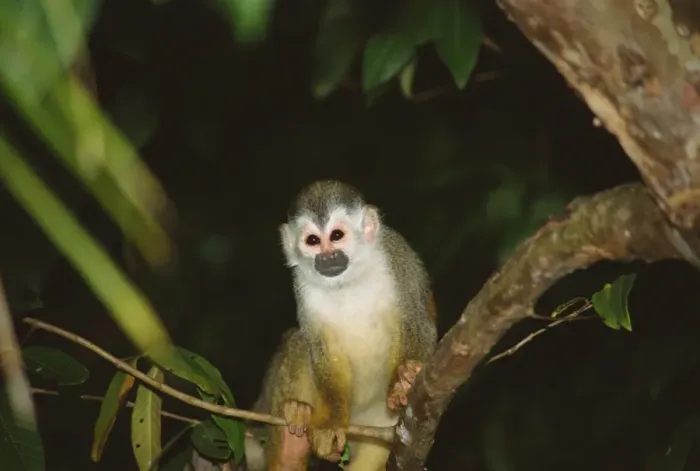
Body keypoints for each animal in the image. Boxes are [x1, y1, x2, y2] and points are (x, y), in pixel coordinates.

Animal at [251, 180, 437, 471]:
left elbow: (418, 323)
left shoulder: (398, 257)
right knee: (299, 343)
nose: (328, 257)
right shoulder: (301, 286)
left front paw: (404, 381)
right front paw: (329, 424)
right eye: (313, 241)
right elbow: (324, 352)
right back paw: (289, 451)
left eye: (337, 235)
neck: (347, 279)